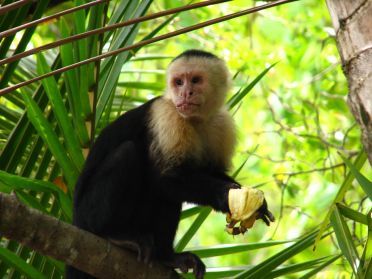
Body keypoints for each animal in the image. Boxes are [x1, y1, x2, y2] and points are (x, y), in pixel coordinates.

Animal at [67, 50, 274, 279]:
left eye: (195, 80)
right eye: (178, 82)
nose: (185, 93)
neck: (196, 120)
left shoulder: (222, 124)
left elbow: (210, 171)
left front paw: (254, 201)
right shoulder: (167, 115)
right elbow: (165, 178)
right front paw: (225, 195)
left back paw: (166, 256)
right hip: (86, 212)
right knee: (128, 155)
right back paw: (112, 234)